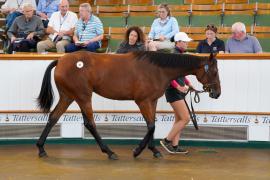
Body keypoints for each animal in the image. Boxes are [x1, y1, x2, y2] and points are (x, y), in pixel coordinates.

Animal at [36, 50, 221, 159]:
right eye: (214, 71)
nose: (217, 93)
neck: (157, 69)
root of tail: (60, 60)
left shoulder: (152, 101)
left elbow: (151, 124)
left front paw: (154, 150)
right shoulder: (143, 101)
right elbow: (151, 126)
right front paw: (137, 151)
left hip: (69, 96)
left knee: (53, 117)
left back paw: (41, 149)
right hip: (83, 96)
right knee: (90, 123)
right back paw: (109, 152)